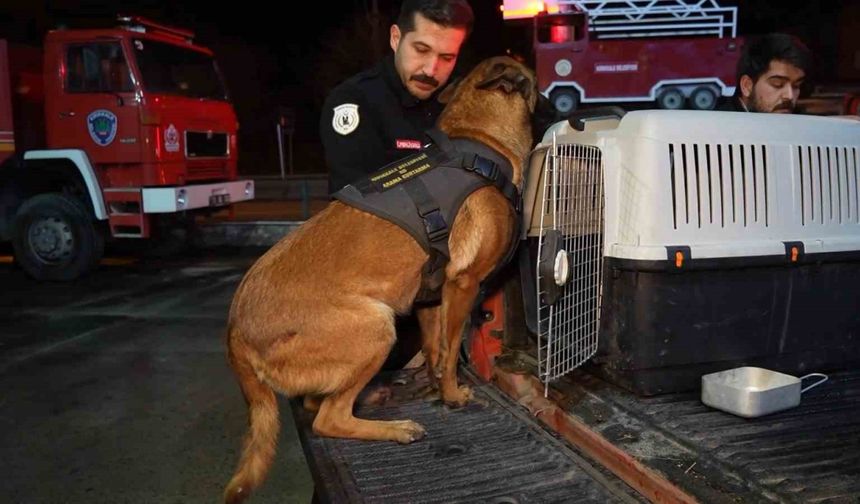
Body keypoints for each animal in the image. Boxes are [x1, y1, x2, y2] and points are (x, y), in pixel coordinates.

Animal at [225, 56, 536, 504]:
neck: (478, 139)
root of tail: (234, 330)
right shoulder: (463, 284)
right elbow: (450, 349)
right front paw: (453, 395)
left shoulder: (431, 296)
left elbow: (436, 350)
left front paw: (434, 385)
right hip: (377, 327)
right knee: (326, 418)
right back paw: (394, 429)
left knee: (315, 404)